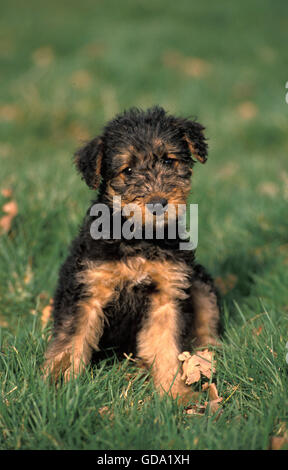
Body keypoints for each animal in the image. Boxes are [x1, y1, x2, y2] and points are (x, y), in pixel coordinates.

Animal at [43, 107, 220, 404]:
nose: (158, 203)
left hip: (198, 281)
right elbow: (72, 341)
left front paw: (175, 394)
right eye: (127, 170)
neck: (138, 237)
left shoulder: (166, 296)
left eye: (168, 160)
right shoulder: (87, 292)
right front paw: (60, 387)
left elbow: (166, 347)